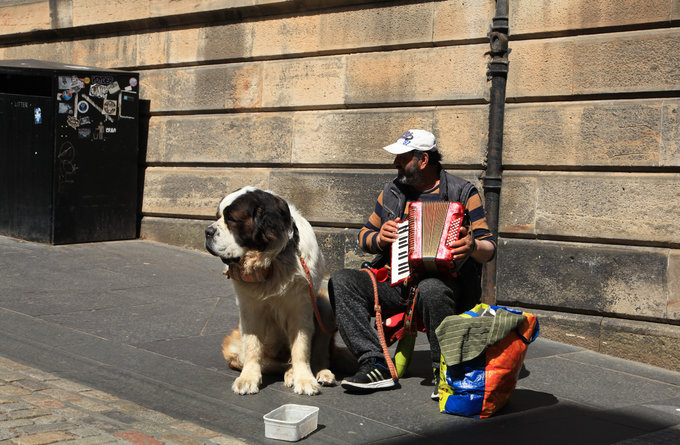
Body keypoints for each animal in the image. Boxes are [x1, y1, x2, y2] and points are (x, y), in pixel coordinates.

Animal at [205, 186, 338, 394]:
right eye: (217, 217)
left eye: (232, 219)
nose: (207, 231)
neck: (270, 262)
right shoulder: (249, 308)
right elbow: (253, 347)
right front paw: (248, 378)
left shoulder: (301, 307)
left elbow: (301, 347)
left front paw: (304, 379)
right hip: (233, 345)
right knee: (260, 360)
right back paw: (288, 372)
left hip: (324, 305)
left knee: (319, 354)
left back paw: (319, 373)